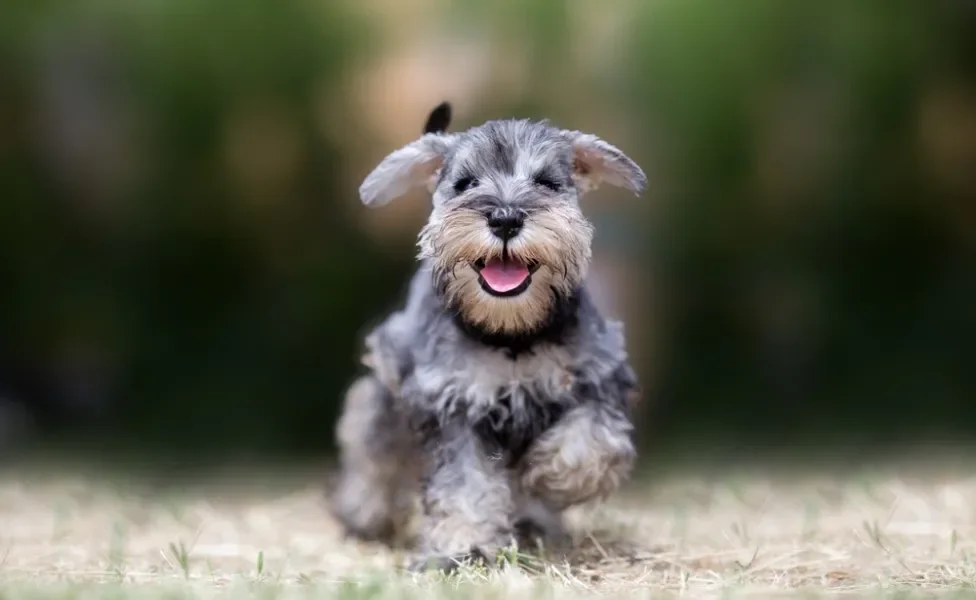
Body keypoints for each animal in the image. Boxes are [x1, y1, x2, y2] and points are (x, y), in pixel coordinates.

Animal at [330, 103, 648, 572]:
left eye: (546, 182)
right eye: (465, 183)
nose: (505, 217)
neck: (510, 334)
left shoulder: (598, 378)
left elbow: (592, 443)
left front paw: (549, 477)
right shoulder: (452, 405)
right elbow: (464, 485)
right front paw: (463, 546)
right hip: (386, 397)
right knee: (372, 447)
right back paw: (362, 513)